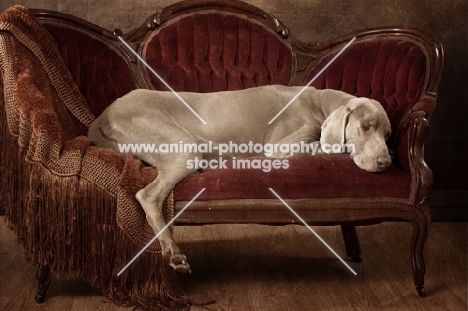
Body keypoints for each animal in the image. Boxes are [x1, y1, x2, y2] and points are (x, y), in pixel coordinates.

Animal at [88, 85, 392, 272]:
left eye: (388, 134)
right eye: (366, 127)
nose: (386, 163)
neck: (319, 103)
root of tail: (103, 115)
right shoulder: (280, 146)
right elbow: (323, 147)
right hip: (183, 146)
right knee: (147, 195)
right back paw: (173, 251)